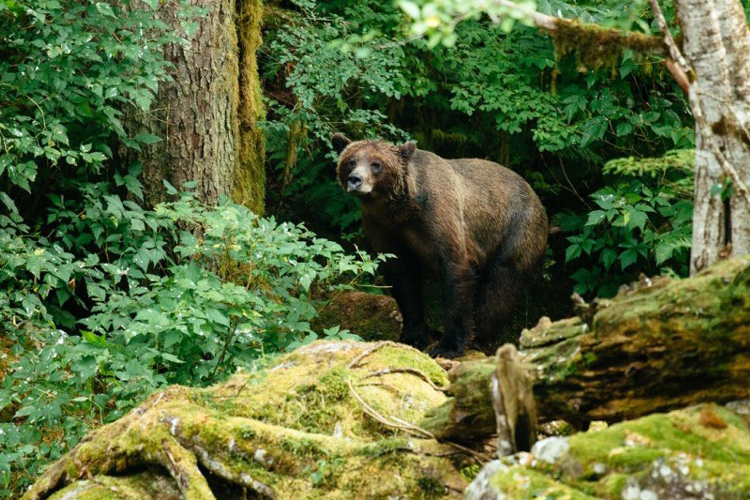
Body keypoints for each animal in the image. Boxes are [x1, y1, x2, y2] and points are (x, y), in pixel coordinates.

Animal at [332, 135, 548, 358]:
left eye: (376, 164)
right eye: (351, 161)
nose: (355, 179)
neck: (403, 210)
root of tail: (536, 197)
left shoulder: (438, 217)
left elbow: (455, 272)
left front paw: (447, 345)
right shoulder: (384, 228)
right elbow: (403, 280)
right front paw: (414, 336)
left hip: (516, 231)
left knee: (500, 286)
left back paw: (480, 337)